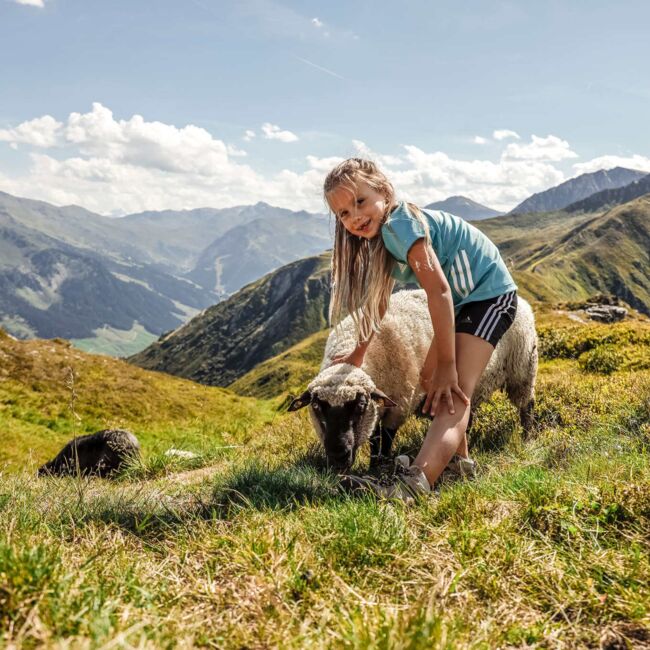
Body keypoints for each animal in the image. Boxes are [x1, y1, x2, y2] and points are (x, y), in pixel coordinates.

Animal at [288, 288, 536, 466]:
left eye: (359, 405)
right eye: (316, 407)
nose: (338, 456)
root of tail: (524, 302)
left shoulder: (399, 405)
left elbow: (385, 439)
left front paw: (379, 467)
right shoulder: (380, 406)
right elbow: (374, 438)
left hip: (522, 369)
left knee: (527, 406)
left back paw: (528, 437)